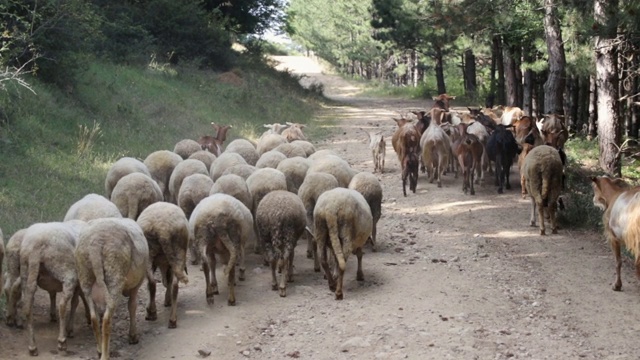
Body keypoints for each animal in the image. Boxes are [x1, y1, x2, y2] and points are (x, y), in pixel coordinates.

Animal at [20, 221, 87, 356]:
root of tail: (35, 246)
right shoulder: (78, 280)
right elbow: (75, 302)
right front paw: (70, 329)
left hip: (26, 273)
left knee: (27, 307)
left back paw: (32, 347)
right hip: (66, 270)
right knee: (62, 305)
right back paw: (62, 342)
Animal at [75, 217, 149, 360]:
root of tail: (96, 243)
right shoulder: (136, 285)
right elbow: (132, 306)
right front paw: (133, 336)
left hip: (85, 276)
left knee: (94, 318)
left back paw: (99, 350)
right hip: (114, 272)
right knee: (106, 320)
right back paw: (105, 355)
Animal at [136, 202, 189, 330]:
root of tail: (162, 230)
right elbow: (169, 281)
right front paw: (166, 300)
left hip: (151, 255)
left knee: (153, 283)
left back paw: (152, 312)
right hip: (177, 253)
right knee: (172, 286)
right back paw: (172, 319)